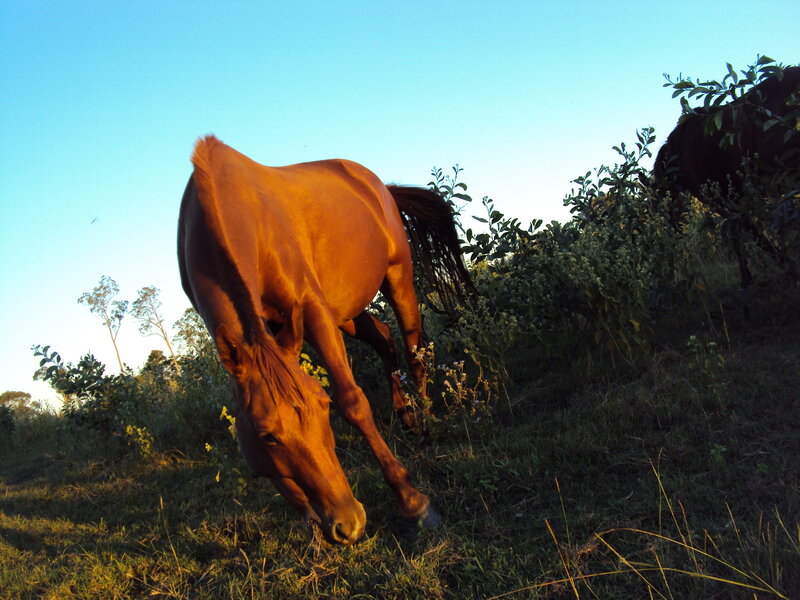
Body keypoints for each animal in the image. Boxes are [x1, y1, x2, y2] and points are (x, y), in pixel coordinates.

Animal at [177, 135, 474, 544]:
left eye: (323, 406)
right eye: (268, 436)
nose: (349, 522)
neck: (236, 215)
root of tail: (379, 185)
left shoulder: (311, 309)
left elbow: (353, 401)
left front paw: (414, 502)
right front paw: (310, 522)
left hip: (396, 277)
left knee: (414, 348)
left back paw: (427, 422)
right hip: (345, 313)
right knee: (385, 341)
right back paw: (407, 417)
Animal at [653, 66, 800, 287]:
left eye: (662, 201)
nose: (673, 232)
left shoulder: (726, 203)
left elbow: (749, 232)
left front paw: (783, 264)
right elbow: (743, 232)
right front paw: (748, 276)